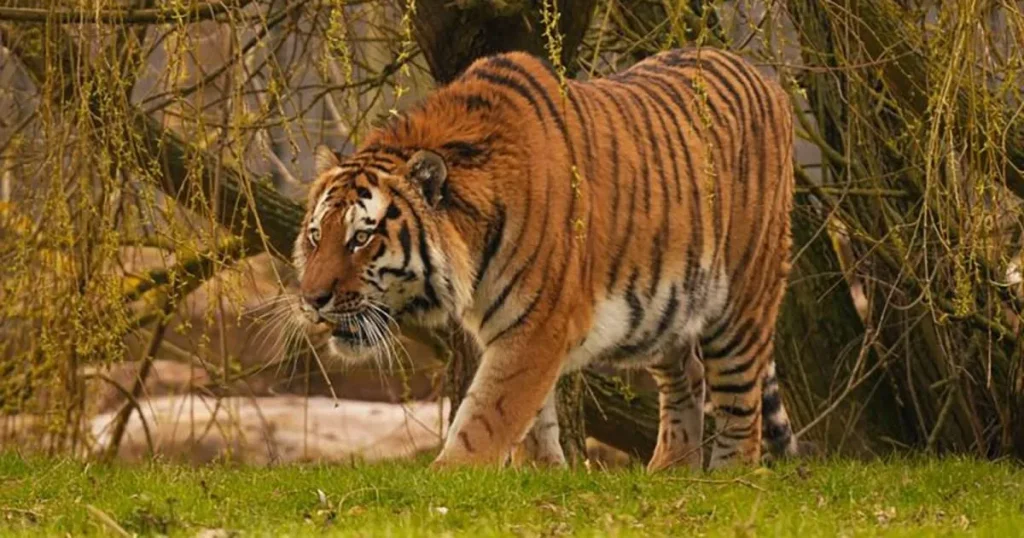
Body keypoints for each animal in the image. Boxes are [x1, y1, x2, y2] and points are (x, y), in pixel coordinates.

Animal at [292, 46, 800, 471]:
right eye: (316, 236)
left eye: (361, 238)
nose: (312, 300)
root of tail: (766, 77)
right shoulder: (518, 328)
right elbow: (533, 418)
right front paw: (543, 474)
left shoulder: (538, 326)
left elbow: (489, 414)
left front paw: (448, 477)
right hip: (666, 310)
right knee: (687, 375)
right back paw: (669, 471)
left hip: (742, 300)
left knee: (740, 399)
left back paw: (730, 477)